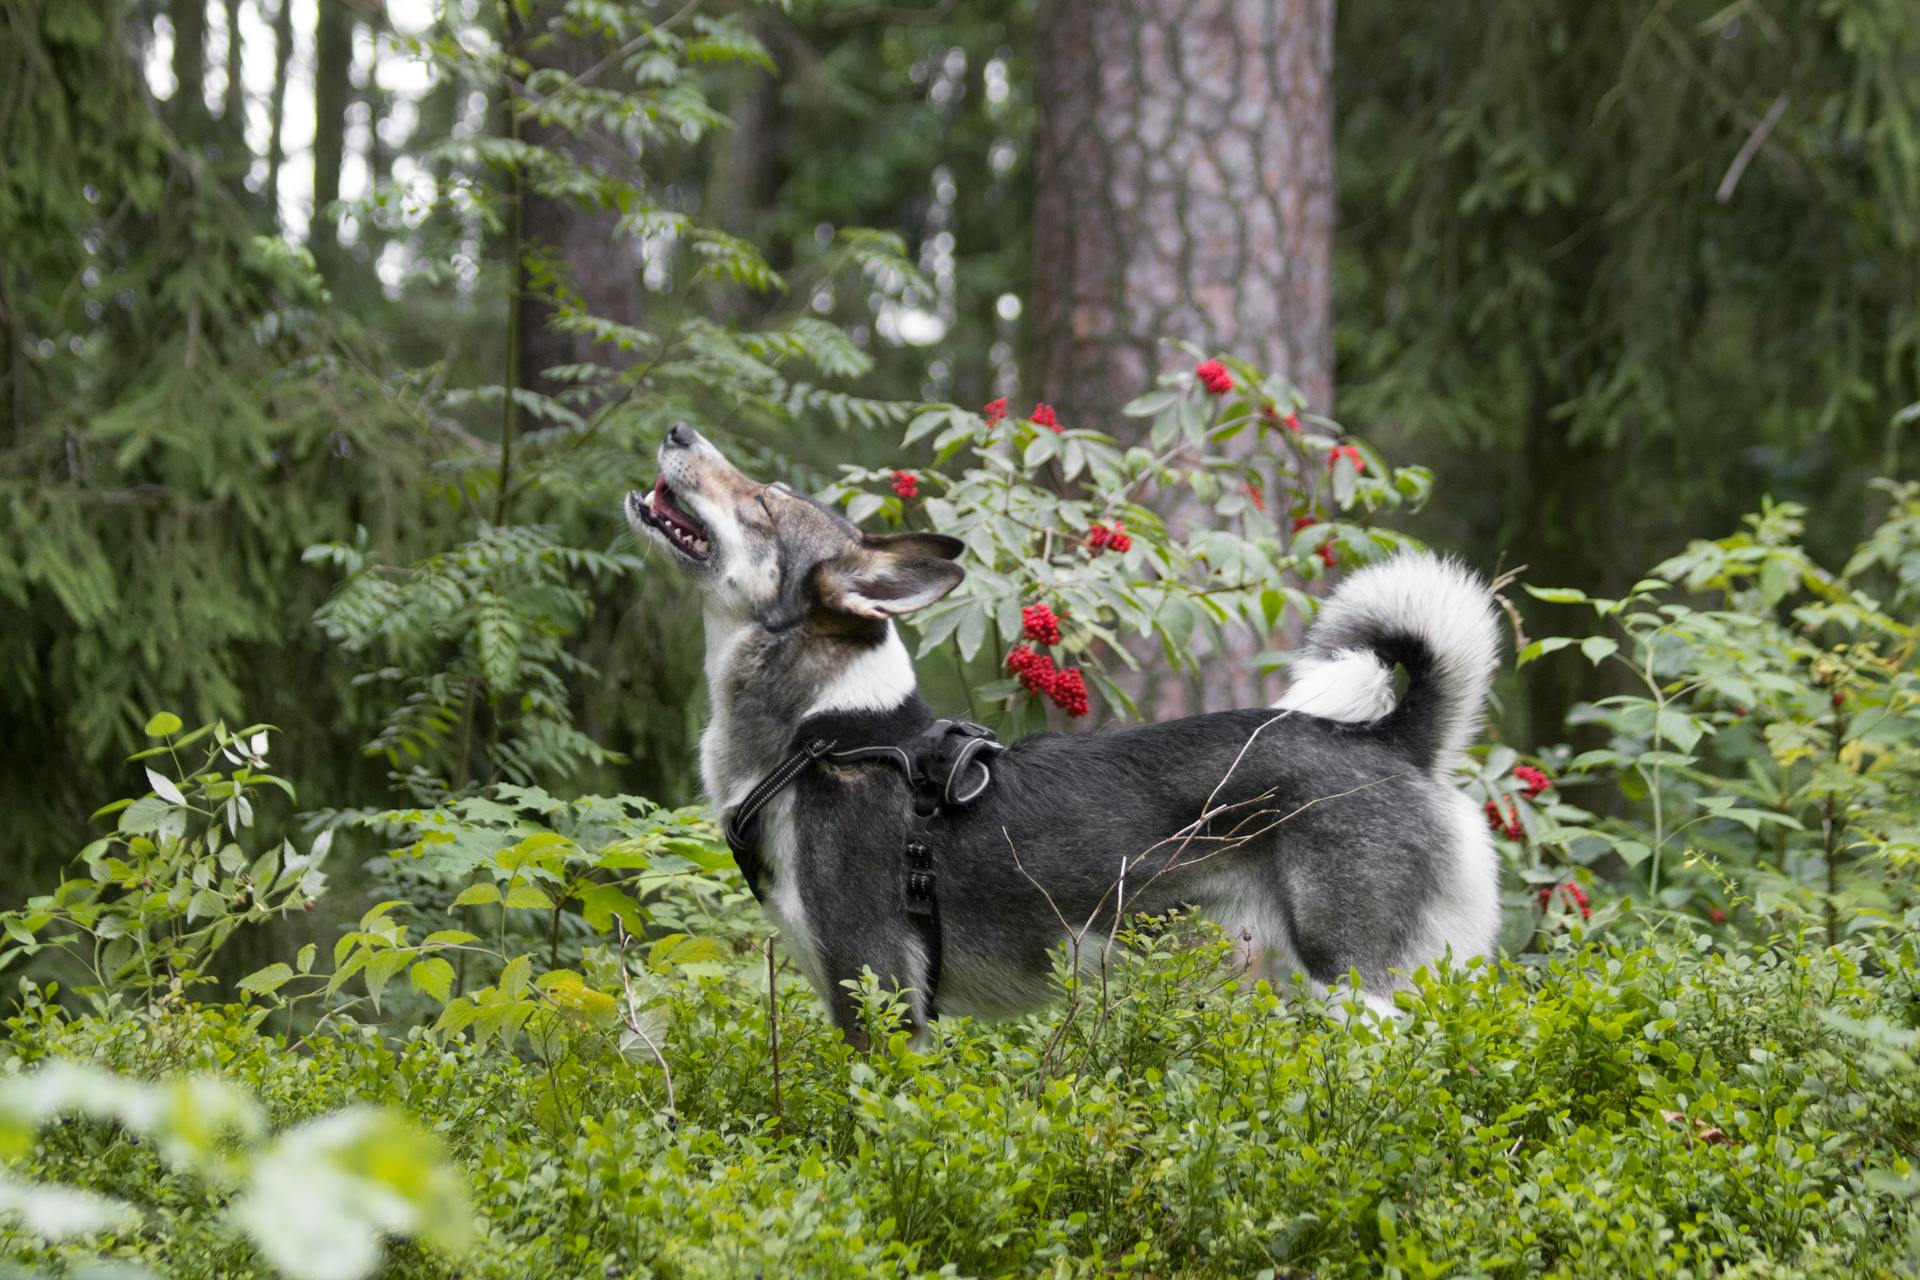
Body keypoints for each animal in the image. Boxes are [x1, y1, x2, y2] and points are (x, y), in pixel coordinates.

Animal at [629, 426, 1497, 1036]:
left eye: (763, 505)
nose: (677, 430)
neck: (831, 735)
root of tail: (1396, 739)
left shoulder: (880, 995)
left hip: (1355, 983)